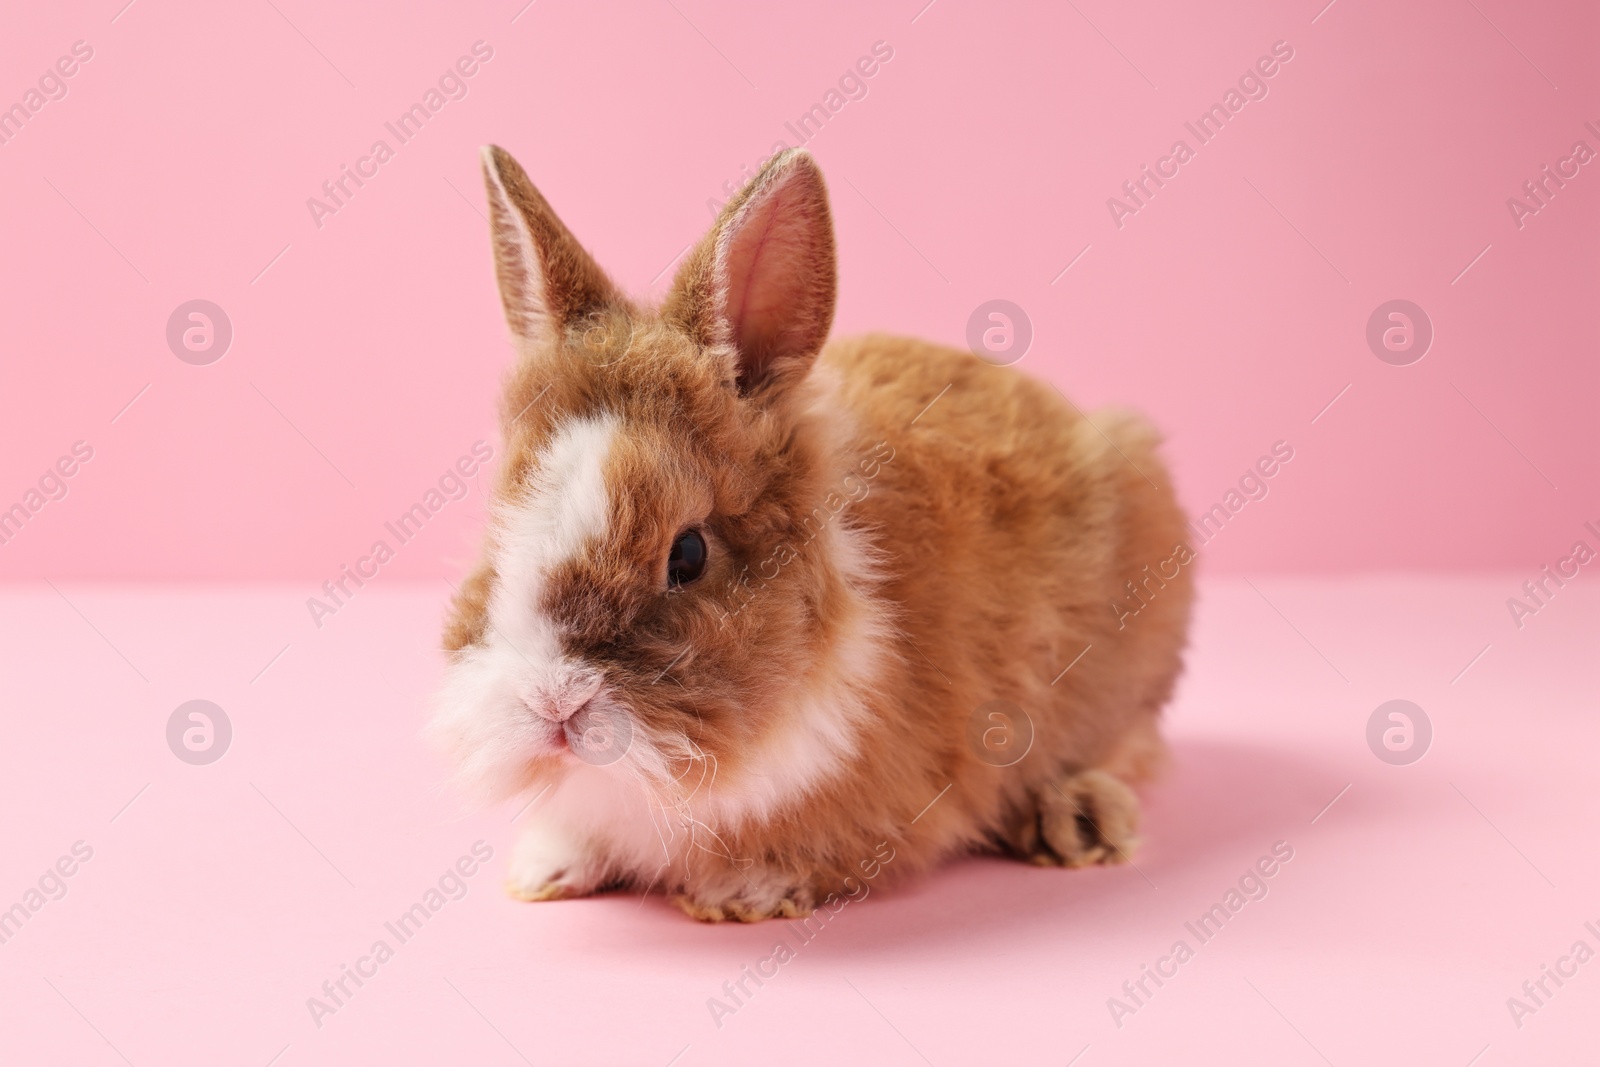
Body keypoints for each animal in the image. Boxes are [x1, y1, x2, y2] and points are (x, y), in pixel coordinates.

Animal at [432, 141, 1196, 921]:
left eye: (688, 554)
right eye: (498, 532)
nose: (553, 703)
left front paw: (741, 892)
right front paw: (546, 869)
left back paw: (1076, 817)